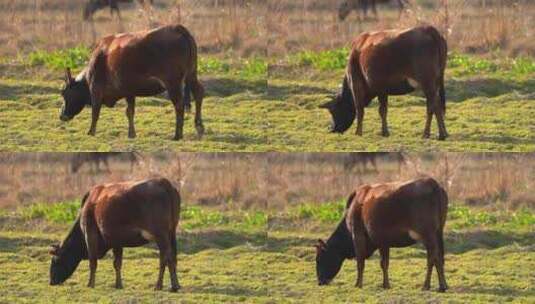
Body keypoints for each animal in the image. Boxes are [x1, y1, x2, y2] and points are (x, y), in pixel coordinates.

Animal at [49, 178, 182, 292]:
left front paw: (90, 284)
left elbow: (93, 261)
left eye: (55, 260)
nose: (51, 281)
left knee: (165, 258)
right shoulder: (116, 240)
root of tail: (162, 181)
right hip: (171, 232)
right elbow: (117, 263)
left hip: (161, 235)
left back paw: (159, 285)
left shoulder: (90, 233)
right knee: (172, 256)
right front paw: (118, 285)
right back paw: (174, 285)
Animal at [59, 24, 204, 141]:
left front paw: (91, 132)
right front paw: (131, 134)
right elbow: (130, 112)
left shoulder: (96, 89)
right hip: (191, 74)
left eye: (64, 93)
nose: (61, 115)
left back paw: (177, 135)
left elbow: (95, 112)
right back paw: (199, 126)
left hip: (173, 82)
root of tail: (177, 27)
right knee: (198, 93)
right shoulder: (129, 91)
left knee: (179, 104)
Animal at [316, 178, 450, 292]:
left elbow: (360, 261)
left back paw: (426, 285)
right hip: (438, 233)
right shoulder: (382, 240)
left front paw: (358, 284)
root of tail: (433, 183)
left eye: (319, 258)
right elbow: (384, 263)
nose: (319, 281)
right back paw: (442, 286)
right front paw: (386, 285)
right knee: (439, 257)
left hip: (427, 235)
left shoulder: (358, 234)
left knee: (432, 258)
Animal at [320, 26, 450, 140]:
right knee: (437, 104)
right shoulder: (382, 88)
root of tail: (428, 28)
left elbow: (360, 109)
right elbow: (383, 110)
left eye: (333, 110)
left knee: (432, 106)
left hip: (427, 83)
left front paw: (358, 132)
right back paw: (443, 134)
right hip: (436, 82)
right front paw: (385, 132)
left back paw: (428, 134)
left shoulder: (357, 84)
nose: (331, 129)